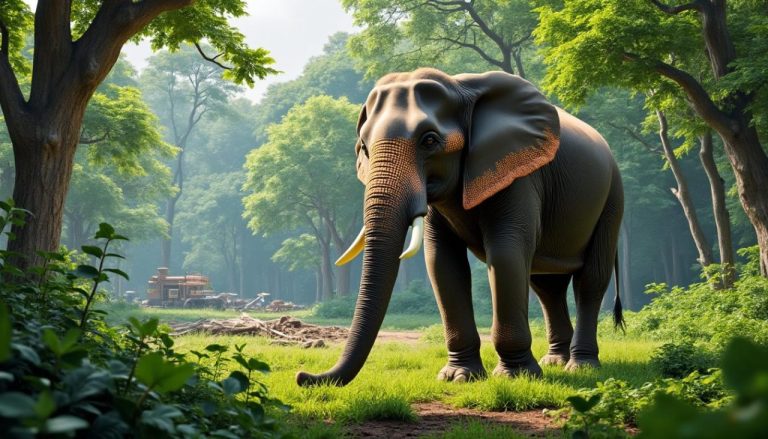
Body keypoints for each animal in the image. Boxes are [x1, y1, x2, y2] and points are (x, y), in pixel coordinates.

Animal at [296, 68, 624, 386]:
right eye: (364, 147)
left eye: (429, 140)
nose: (303, 376)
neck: (460, 87)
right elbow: (442, 261)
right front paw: (459, 377)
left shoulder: (519, 174)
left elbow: (505, 253)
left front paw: (515, 376)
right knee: (546, 285)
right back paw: (555, 361)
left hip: (612, 199)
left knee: (590, 280)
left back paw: (581, 366)